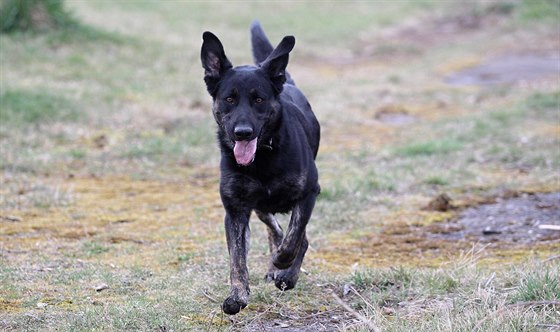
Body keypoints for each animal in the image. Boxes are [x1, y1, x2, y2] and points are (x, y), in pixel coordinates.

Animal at [201, 21, 320, 314]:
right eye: (229, 99)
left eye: (259, 99)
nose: (242, 133)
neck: (263, 158)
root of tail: (285, 79)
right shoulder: (235, 210)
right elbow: (237, 258)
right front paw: (237, 295)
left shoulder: (309, 193)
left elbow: (294, 238)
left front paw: (283, 265)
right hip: (259, 206)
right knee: (272, 226)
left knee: (295, 236)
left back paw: (284, 272)